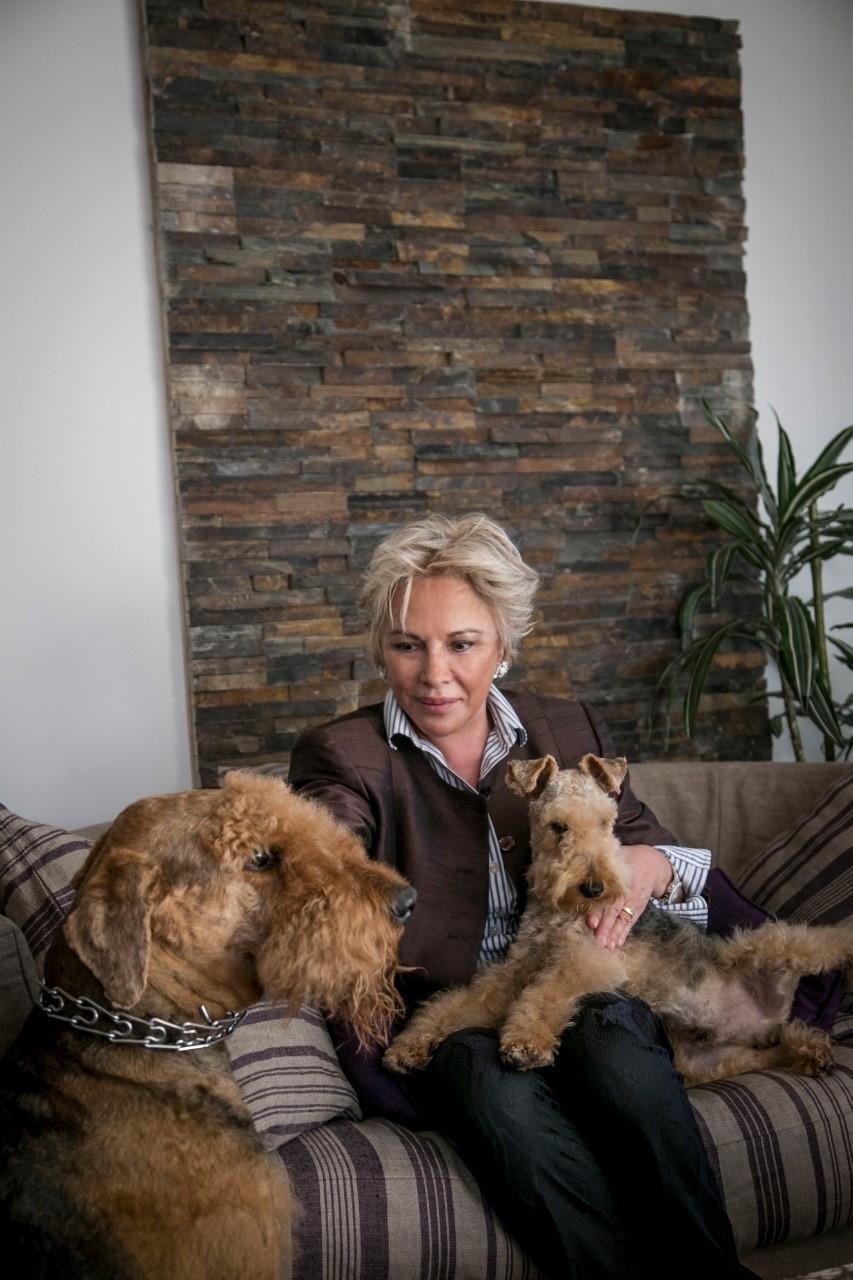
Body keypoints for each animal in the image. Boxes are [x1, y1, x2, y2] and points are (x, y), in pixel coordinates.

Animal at [385, 753, 853, 1088]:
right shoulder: (513, 974)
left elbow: (545, 996)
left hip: (763, 947)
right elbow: (456, 1005)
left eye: (606, 822)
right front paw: (409, 1046)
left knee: (823, 940)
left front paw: (525, 1044)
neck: (558, 915)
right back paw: (810, 1054)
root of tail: (764, 1018)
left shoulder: (589, 959)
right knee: (777, 1047)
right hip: (709, 1060)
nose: (595, 888)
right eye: (558, 826)